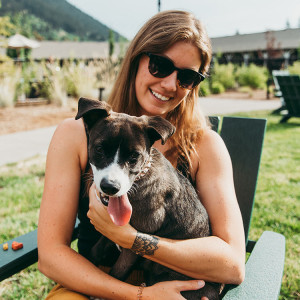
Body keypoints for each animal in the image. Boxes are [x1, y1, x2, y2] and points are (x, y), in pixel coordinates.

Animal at [75, 98, 220, 300]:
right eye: (99, 149)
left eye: (134, 156)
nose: (110, 187)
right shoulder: (109, 233)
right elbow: (95, 252)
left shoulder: (132, 246)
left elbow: (116, 273)